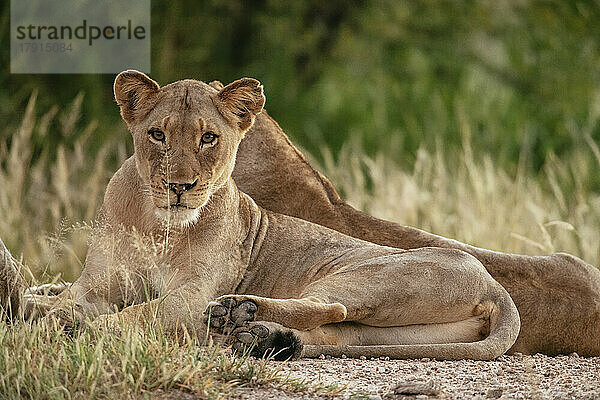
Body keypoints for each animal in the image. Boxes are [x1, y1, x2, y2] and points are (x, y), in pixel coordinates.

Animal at [0, 71, 520, 360]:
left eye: (209, 138)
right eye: (157, 135)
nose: (179, 186)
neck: (157, 225)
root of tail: (495, 286)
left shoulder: (189, 297)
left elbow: (136, 315)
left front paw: (70, 326)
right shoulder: (97, 284)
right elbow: (71, 302)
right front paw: (45, 312)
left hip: (366, 275)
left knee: (332, 307)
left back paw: (238, 315)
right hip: (392, 333)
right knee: (336, 333)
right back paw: (261, 339)